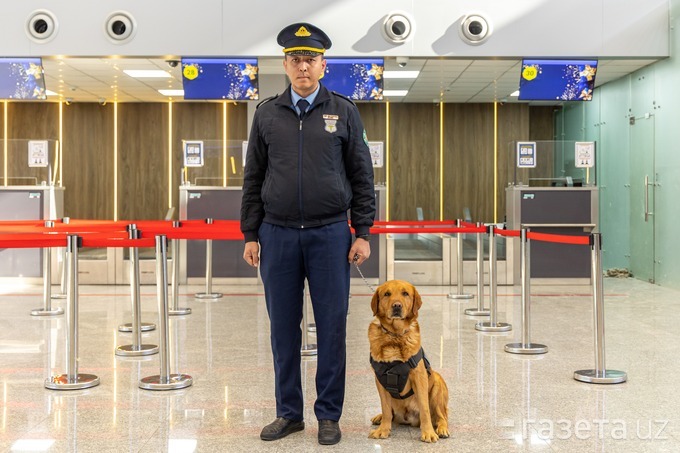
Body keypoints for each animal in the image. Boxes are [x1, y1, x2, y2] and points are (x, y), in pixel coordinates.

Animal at [370, 278, 448, 442]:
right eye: (387, 294)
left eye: (405, 293)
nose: (397, 306)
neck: (395, 336)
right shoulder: (380, 379)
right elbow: (385, 408)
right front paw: (383, 430)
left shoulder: (419, 377)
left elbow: (425, 409)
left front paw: (428, 432)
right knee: (390, 413)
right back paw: (380, 418)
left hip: (438, 384)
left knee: (441, 416)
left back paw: (442, 429)